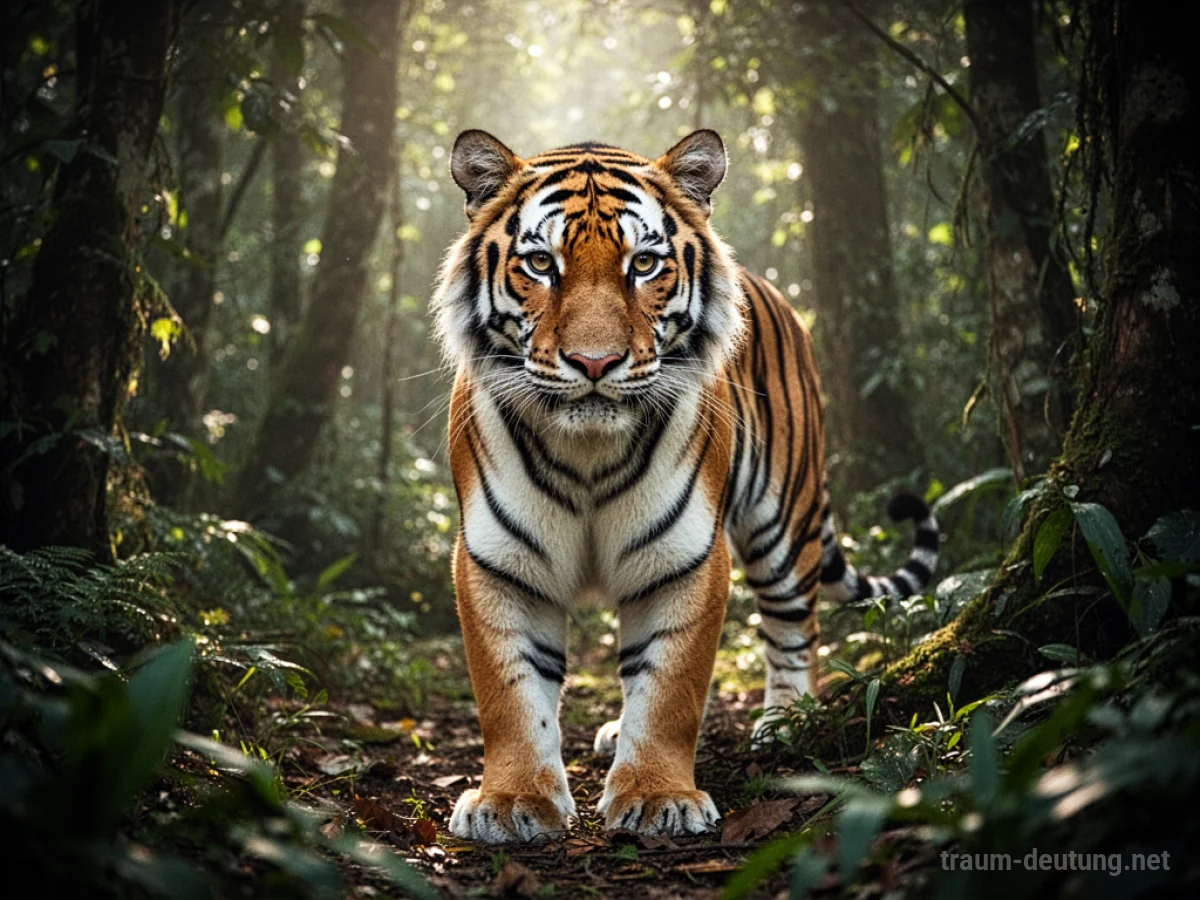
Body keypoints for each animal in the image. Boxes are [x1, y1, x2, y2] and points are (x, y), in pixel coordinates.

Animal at [432, 129, 939, 843]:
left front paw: (656, 797)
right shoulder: (496, 562)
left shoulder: (686, 558)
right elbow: (510, 694)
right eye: (540, 264)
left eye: (644, 264)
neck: (588, 454)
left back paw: (786, 721)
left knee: (795, 625)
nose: (594, 363)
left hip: (782, 519)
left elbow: (670, 687)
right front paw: (512, 801)